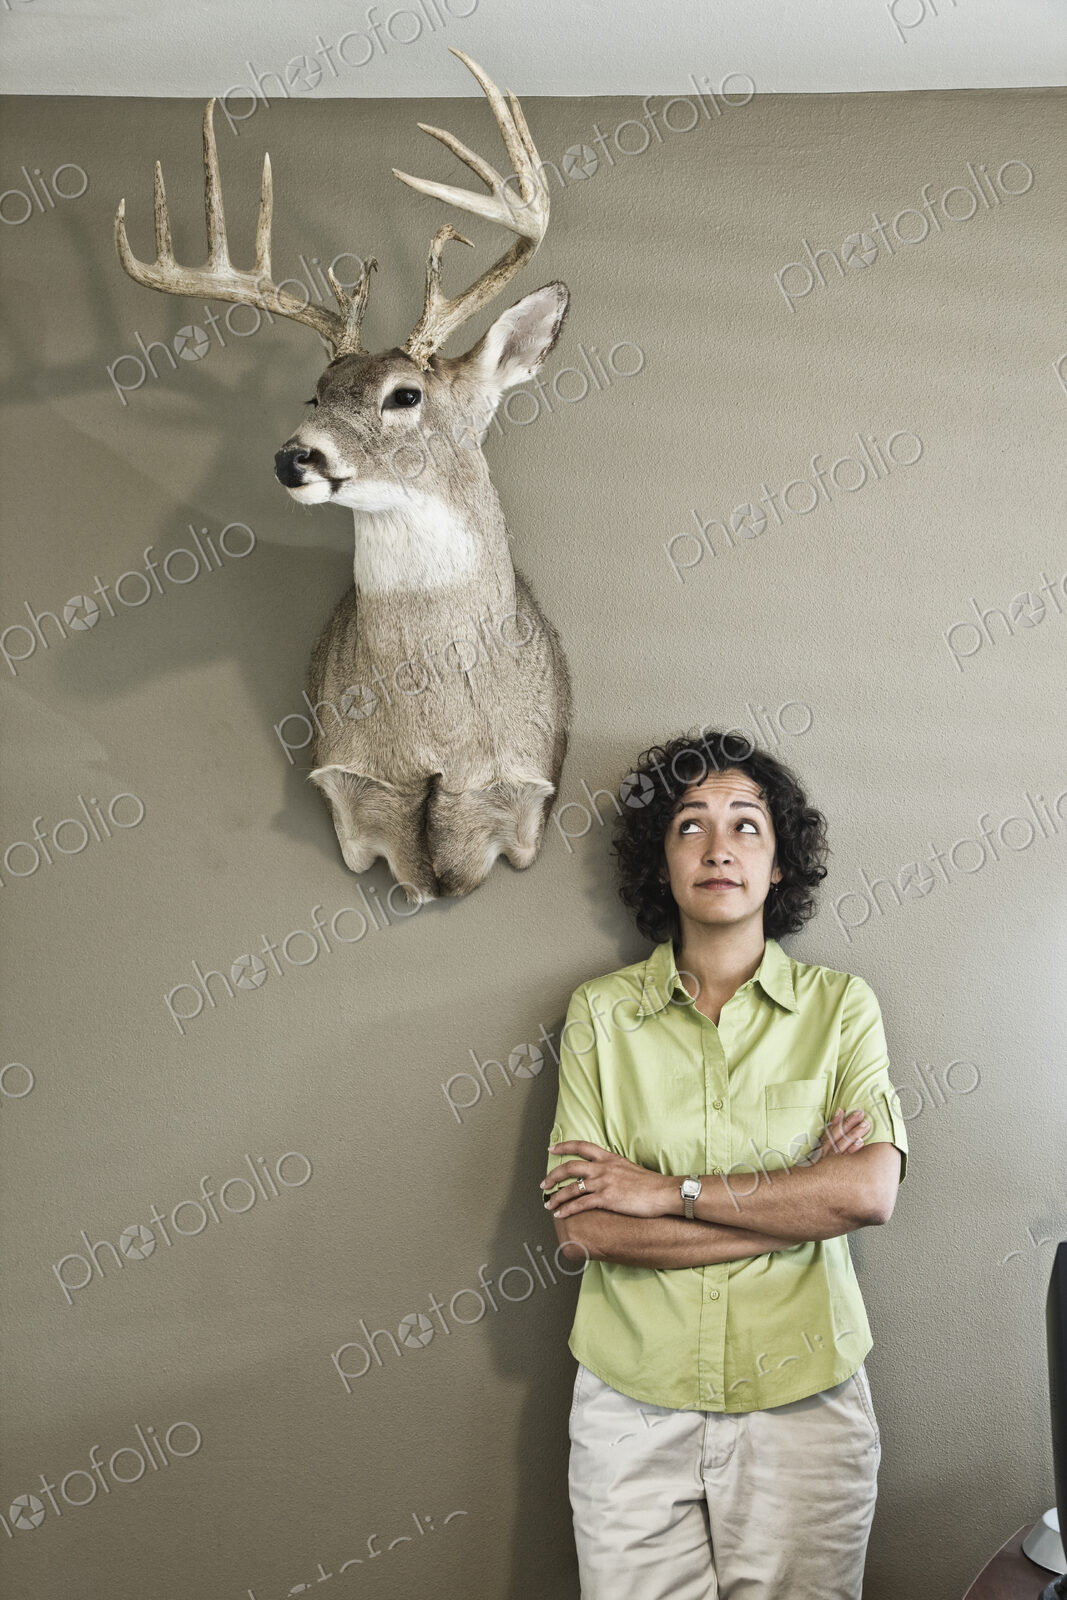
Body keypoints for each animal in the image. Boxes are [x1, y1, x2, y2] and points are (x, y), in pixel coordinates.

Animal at [115, 47, 572, 906]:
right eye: (315, 394)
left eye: (405, 395)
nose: (294, 455)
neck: (435, 738)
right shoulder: (351, 797)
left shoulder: (524, 801)